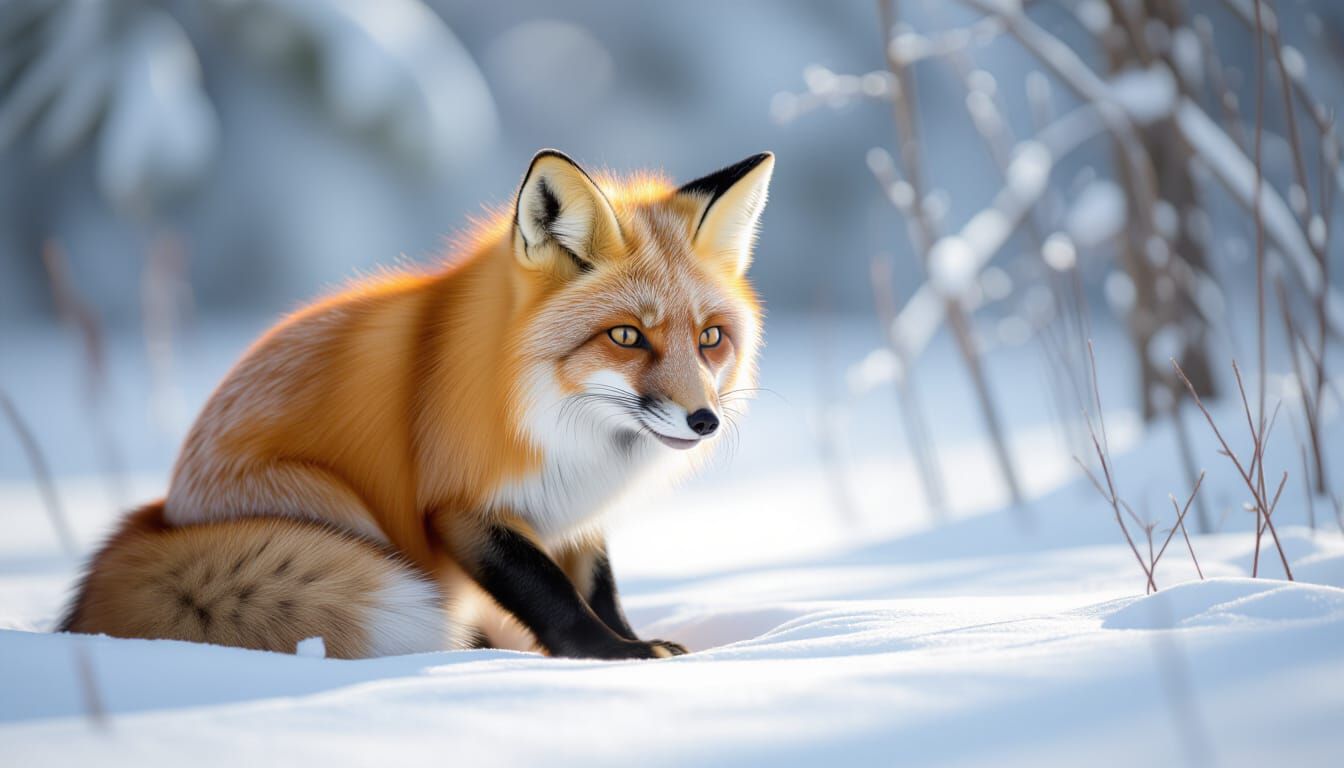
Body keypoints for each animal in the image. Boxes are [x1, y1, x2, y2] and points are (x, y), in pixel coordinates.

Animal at [60, 149, 773, 660]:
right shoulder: (459, 505)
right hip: (337, 509)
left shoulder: (574, 510)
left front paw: (634, 641)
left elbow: (599, 587)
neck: (560, 427)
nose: (705, 420)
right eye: (626, 336)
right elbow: (553, 594)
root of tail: (161, 514)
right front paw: (612, 656)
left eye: (710, 338)